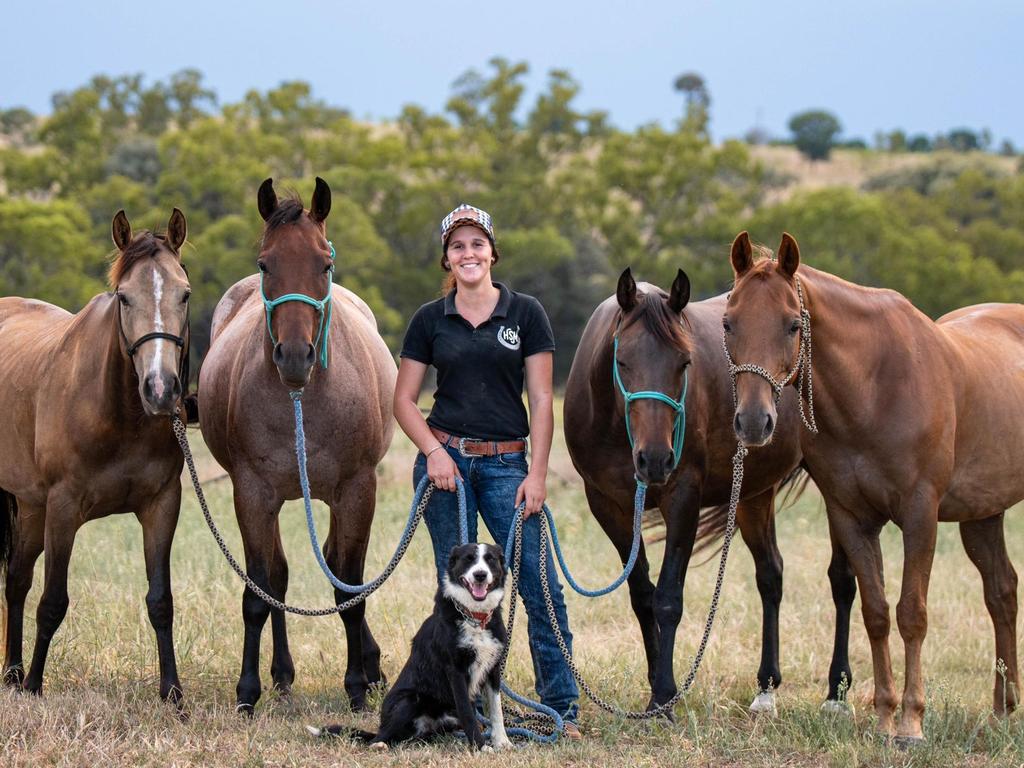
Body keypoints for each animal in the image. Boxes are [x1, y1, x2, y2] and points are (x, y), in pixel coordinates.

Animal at [0, 208, 191, 704]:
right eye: (124, 297)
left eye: (184, 294)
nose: (160, 389)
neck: (118, 413)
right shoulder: (63, 509)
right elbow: (53, 602)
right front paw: (35, 686)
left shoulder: (162, 505)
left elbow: (161, 602)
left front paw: (172, 693)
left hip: (29, 506)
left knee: (16, 580)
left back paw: (10, 673)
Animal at [197, 176, 397, 716]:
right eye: (266, 263)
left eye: (324, 263)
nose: (293, 356)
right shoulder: (251, 492)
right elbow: (259, 593)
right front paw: (247, 691)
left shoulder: (356, 490)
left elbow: (349, 588)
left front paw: (357, 686)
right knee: (279, 580)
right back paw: (282, 674)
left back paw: (370, 668)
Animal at [569, 268, 856, 716]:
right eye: (622, 360)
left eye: (685, 362)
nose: (655, 460)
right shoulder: (607, 505)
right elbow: (642, 596)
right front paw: (654, 687)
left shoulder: (683, 498)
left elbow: (668, 599)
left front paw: (665, 696)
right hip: (754, 493)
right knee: (771, 574)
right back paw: (765, 688)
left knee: (842, 579)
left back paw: (836, 691)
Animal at [720, 231, 1024, 741]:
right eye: (728, 323)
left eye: (792, 325)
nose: (754, 422)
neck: (875, 389)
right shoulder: (851, 518)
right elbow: (876, 612)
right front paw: (884, 717)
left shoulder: (920, 515)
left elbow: (912, 614)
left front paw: (912, 724)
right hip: (982, 514)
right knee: (1001, 591)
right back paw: (1004, 710)